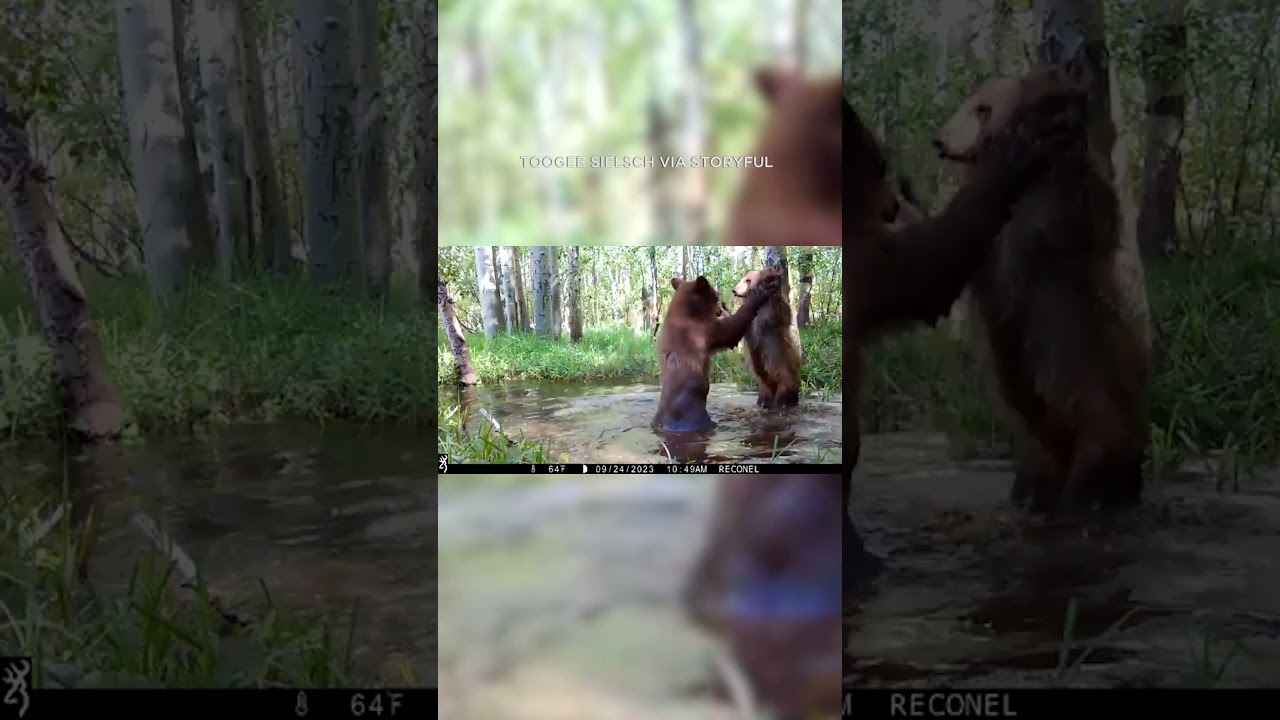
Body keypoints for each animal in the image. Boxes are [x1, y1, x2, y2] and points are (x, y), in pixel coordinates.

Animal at [653, 274, 780, 433]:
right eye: (715, 296)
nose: (719, 310)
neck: (687, 312)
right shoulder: (701, 331)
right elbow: (730, 331)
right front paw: (758, 294)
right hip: (695, 414)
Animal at [732, 267, 803, 409]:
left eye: (747, 280)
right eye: (743, 279)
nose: (734, 290)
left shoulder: (772, 318)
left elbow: (779, 314)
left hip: (778, 360)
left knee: (782, 377)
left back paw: (782, 401)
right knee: (763, 379)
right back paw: (764, 400)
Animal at [933, 59, 1151, 516]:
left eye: (981, 108)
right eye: (969, 104)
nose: (940, 140)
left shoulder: (1055, 224)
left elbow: (1081, 216)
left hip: (1077, 350)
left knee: (1092, 410)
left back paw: (1090, 487)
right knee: (1032, 414)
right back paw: (1036, 487)